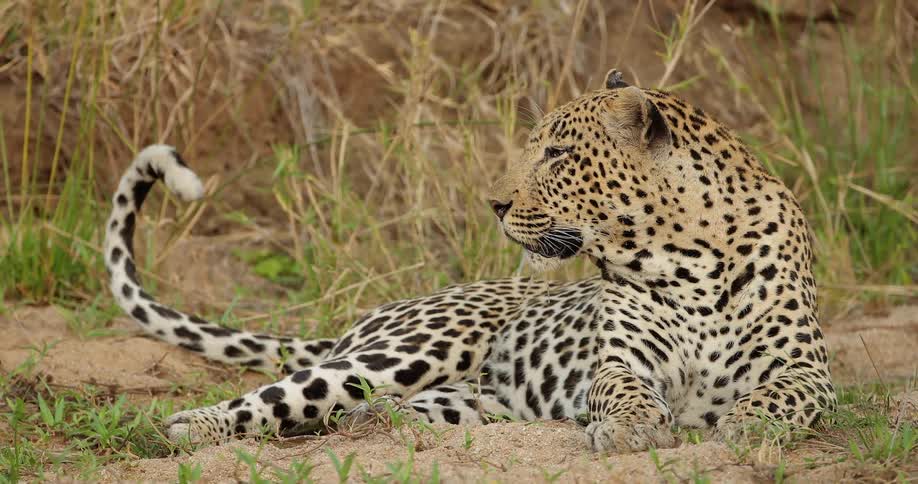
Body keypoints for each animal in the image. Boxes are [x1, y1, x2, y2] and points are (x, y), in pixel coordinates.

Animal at [102, 68, 835, 452]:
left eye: (558, 154)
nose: (495, 202)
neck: (684, 258)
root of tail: (364, 322)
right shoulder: (622, 360)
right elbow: (622, 387)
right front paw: (630, 429)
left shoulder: (810, 372)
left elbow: (782, 394)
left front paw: (745, 424)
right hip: (408, 350)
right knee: (286, 394)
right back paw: (190, 427)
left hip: (467, 403)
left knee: (362, 410)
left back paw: (378, 424)